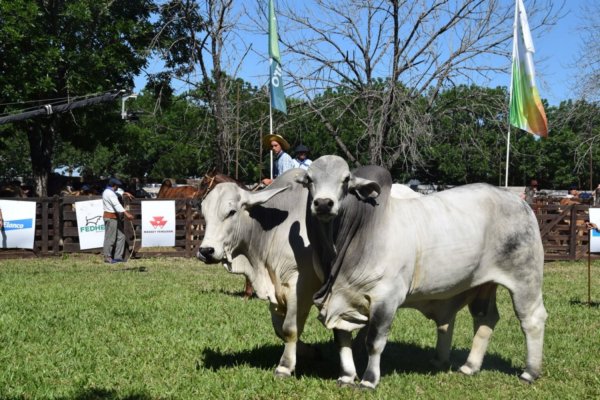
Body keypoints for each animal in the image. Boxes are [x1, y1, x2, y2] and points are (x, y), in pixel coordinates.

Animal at [296, 155, 548, 390]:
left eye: (346, 179)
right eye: (309, 179)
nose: (323, 203)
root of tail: (520, 203)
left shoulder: (386, 298)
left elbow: (374, 341)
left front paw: (369, 380)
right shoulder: (339, 297)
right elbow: (342, 339)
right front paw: (347, 376)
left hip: (525, 277)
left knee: (532, 319)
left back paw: (529, 372)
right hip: (482, 284)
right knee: (485, 318)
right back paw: (470, 366)